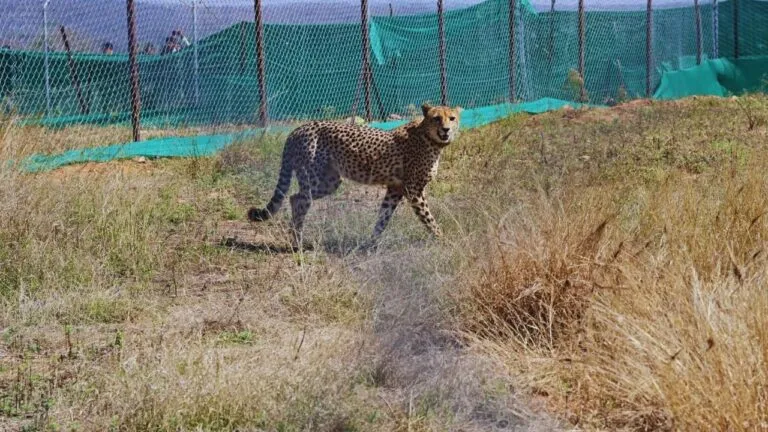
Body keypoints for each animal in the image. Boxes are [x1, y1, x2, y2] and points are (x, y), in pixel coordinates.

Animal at [247, 103, 462, 248]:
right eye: (436, 118)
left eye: (451, 118)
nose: (446, 129)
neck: (429, 138)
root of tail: (298, 129)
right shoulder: (414, 190)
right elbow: (429, 219)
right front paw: (444, 240)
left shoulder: (395, 189)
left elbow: (383, 218)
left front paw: (371, 244)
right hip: (313, 177)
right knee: (299, 199)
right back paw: (297, 242)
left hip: (330, 181)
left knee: (294, 197)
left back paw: (295, 239)